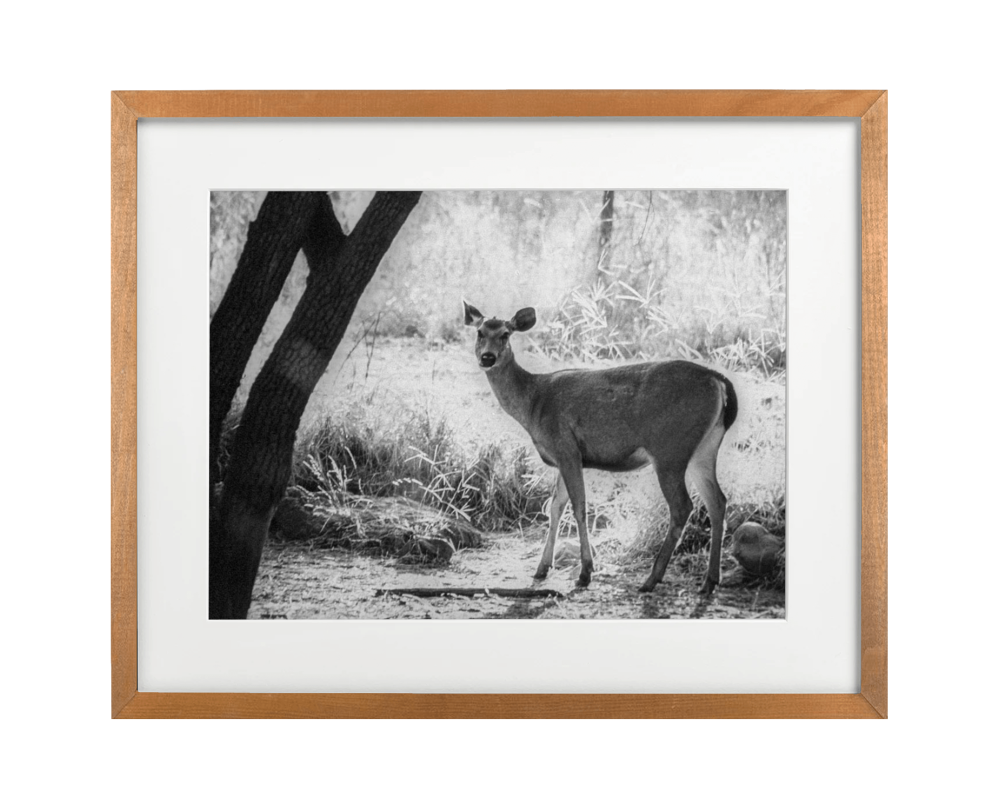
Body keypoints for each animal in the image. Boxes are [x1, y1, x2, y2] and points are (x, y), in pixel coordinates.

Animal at [463, 301, 738, 594]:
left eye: (505, 334)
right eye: (480, 332)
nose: (487, 358)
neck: (534, 403)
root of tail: (719, 380)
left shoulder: (566, 448)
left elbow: (578, 507)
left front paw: (585, 573)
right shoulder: (564, 457)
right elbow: (554, 507)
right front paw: (542, 568)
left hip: (670, 448)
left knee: (683, 506)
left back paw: (651, 579)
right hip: (704, 449)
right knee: (717, 501)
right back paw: (709, 581)